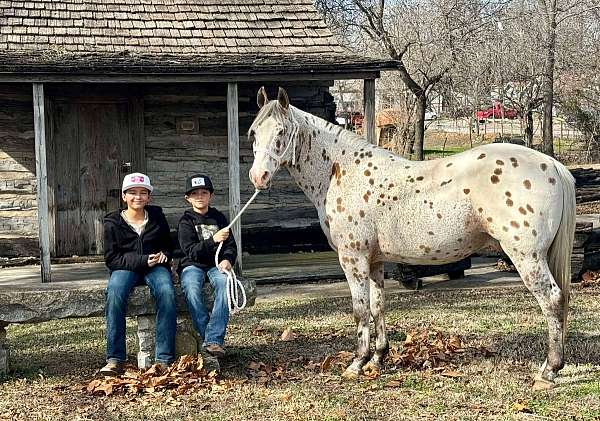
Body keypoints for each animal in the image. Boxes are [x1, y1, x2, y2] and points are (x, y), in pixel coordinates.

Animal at [247, 87, 576, 388]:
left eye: (281, 132)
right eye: (253, 133)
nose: (258, 177)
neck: (341, 171)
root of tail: (552, 165)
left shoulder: (353, 259)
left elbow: (359, 310)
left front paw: (357, 363)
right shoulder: (374, 261)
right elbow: (377, 306)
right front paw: (377, 359)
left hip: (527, 257)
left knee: (552, 299)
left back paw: (549, 370)